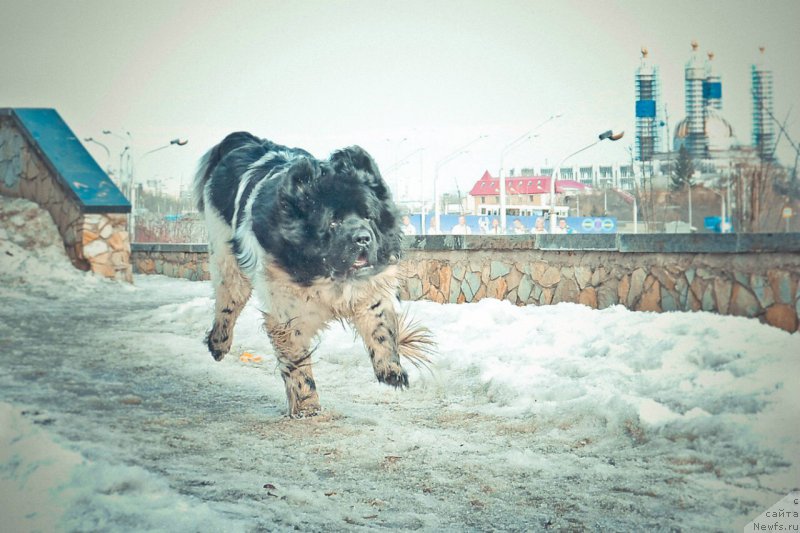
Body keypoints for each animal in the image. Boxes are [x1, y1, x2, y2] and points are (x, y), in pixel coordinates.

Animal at [195, 132, 432, 416]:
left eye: (368, 216)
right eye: (333, 222)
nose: (363, 238)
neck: (328, 274)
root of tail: (245, 141)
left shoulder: (369, 289)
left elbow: (380, 328)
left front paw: (391, 370)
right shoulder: (286, 313)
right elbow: (296, 362)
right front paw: (307, 404)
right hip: (226, 260)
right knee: (228, 302)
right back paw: (218, 344)